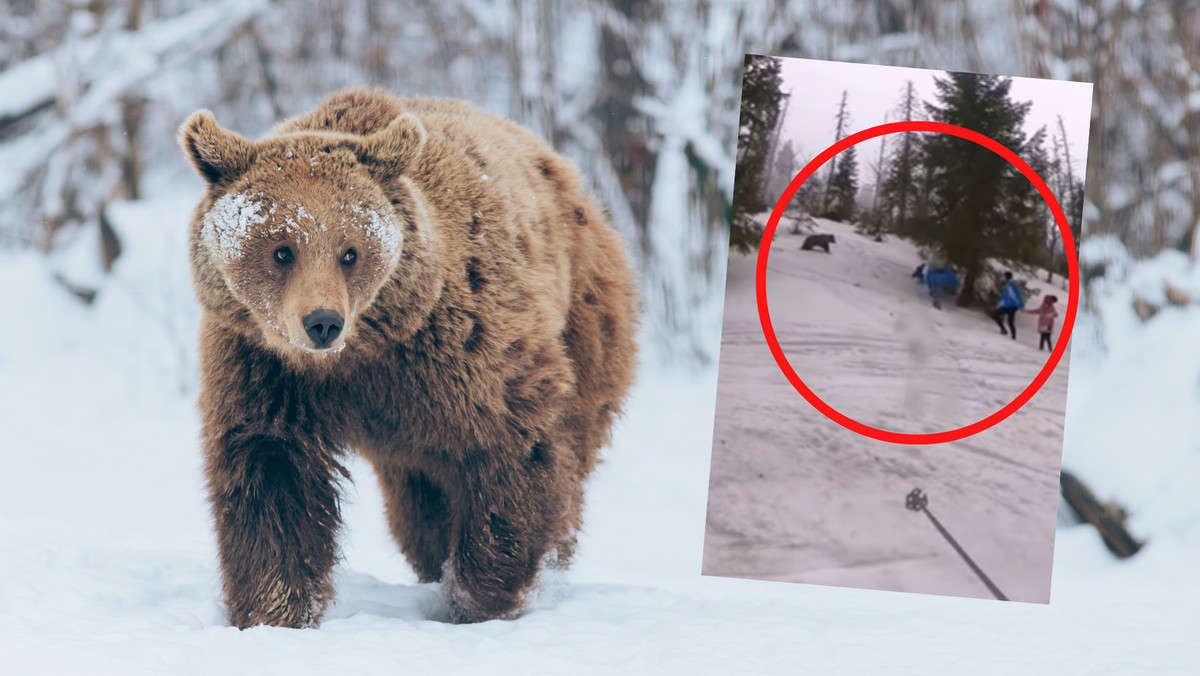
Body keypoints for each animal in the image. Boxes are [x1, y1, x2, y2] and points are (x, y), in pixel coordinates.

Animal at [176, 88, 638, 629]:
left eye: (350, 251)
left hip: (586, 321)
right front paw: (276, 610)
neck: (361, 355)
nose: (322, 322)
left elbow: (513, 450)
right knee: (420, 512)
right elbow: (270, 472)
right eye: (281, 249)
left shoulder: (463, 351)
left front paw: (479, 597)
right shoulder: (264, 367)